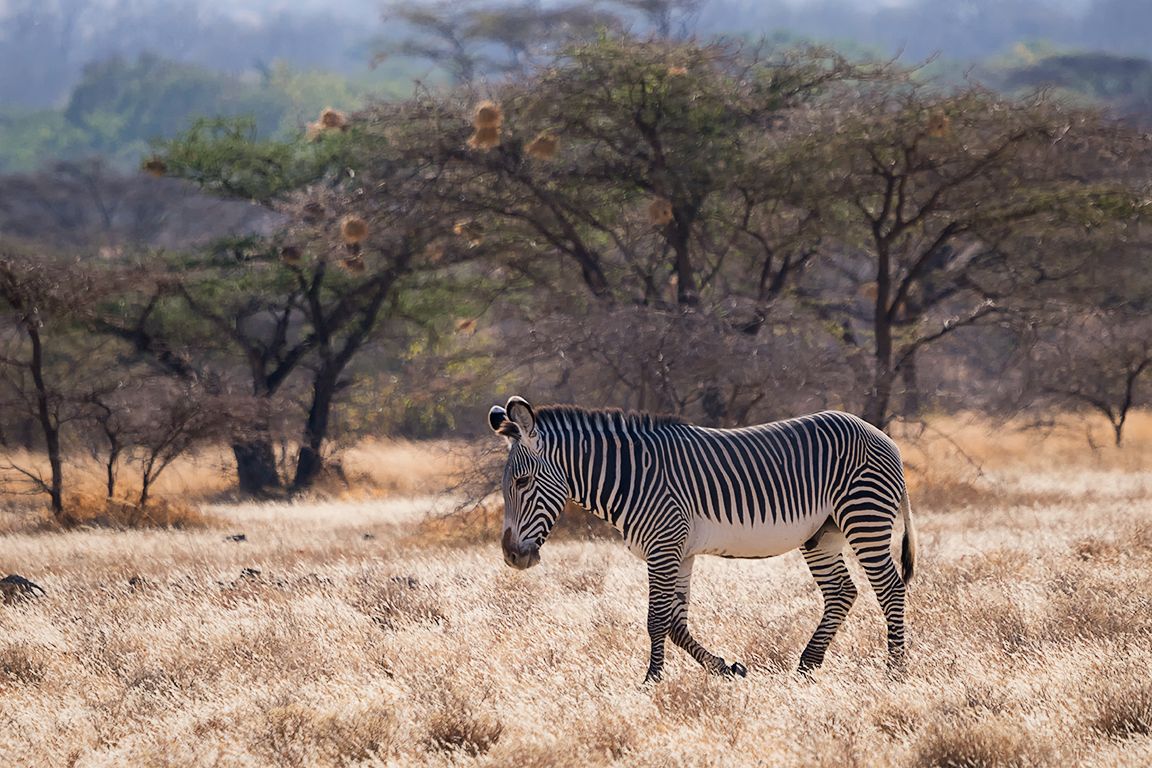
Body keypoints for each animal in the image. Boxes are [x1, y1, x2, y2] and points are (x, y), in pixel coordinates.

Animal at [488, 396, 917, 682]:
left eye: (522, 482)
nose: (511, 557)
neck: (633, 478)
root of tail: (883, 436)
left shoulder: (663, 547)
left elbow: (655, 620)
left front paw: (651, 682)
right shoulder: (681, 552)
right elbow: (676, 623)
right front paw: (727, 669)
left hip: (864, 516)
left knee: (890, 589)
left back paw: (894, 670)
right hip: (823, 534)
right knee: (843, 592)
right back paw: (807, 666)